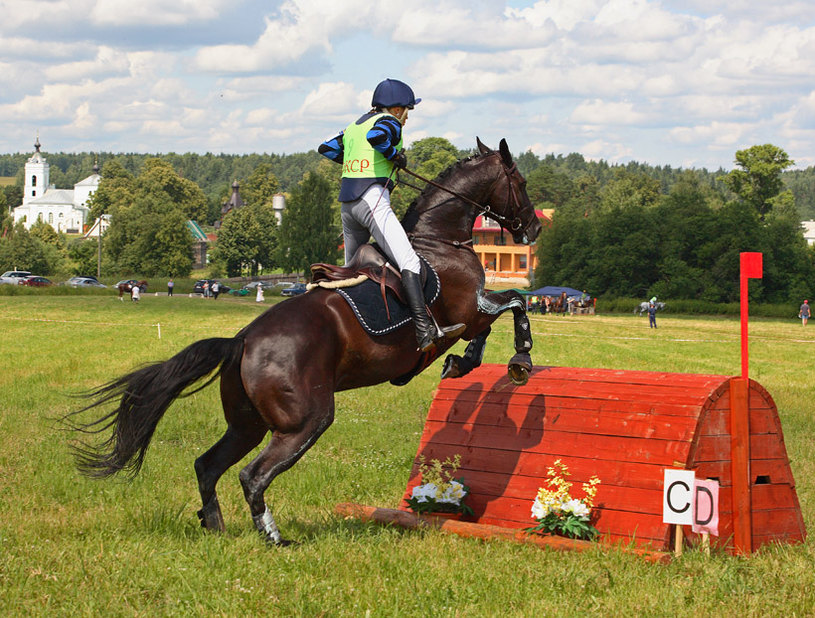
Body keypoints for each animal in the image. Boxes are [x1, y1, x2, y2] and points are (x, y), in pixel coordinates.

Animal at [65, 137, 540, 540]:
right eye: (520, 183)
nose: (533, 229)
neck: (438, 238)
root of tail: (241, 341)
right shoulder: (468, 310)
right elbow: (515, 304)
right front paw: (519, 361)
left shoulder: (474, 312)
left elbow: (496, 320)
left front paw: (464, 362)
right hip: (305, 420)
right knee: (252, 475)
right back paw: (273, 537)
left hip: (248, 424)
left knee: (208, 465)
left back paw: (217, 527)